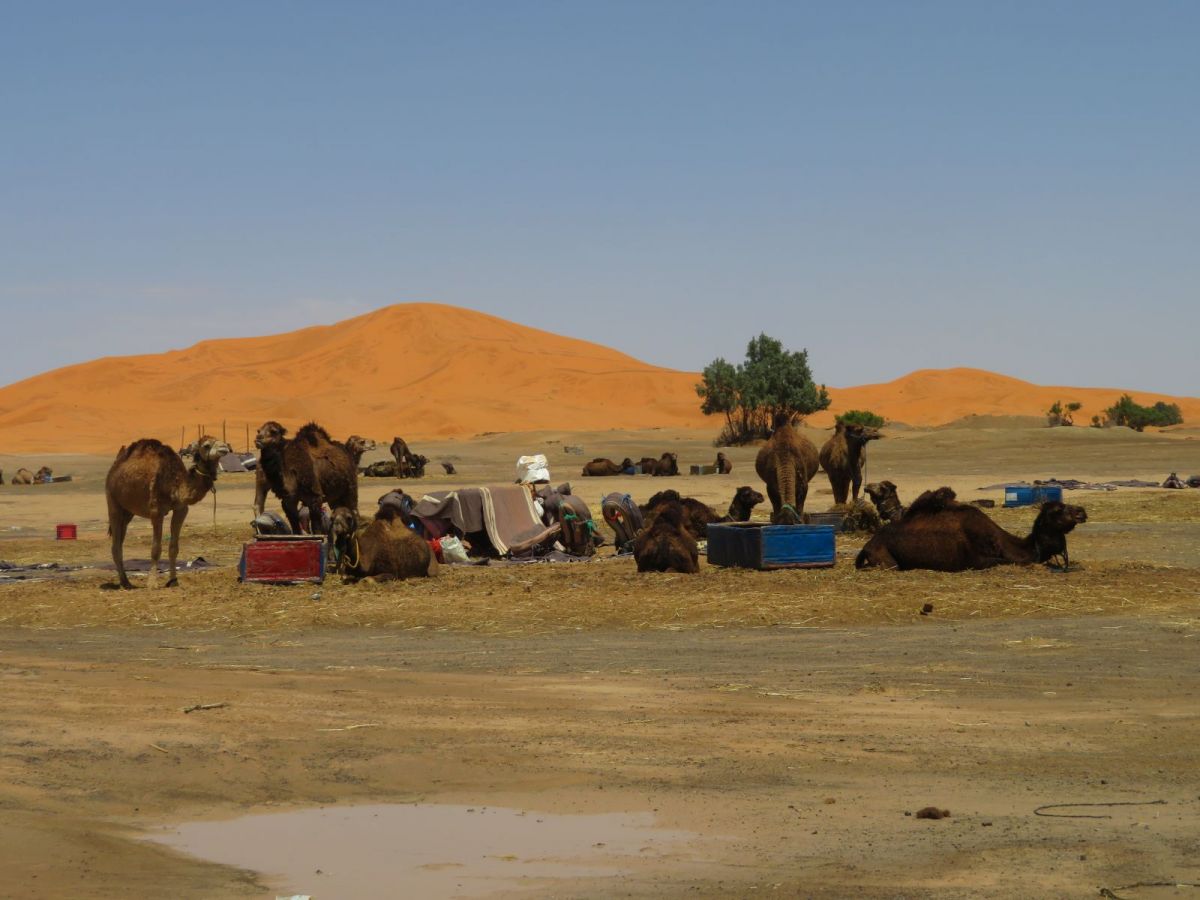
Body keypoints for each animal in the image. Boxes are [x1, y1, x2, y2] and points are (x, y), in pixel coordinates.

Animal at [105, 435, 232, 589]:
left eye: (220, 440)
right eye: (206, 445)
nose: (224, 447)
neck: (175, 484)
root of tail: (116, 465)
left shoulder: (181, 509)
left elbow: (174, 548)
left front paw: (173, 581)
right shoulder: (156, 512)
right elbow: (155, 549)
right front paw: (152, 583)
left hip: (128, 511)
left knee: (119, 540)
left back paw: (125, 581)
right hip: (113, 501)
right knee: (116, 544)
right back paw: (125, 582)